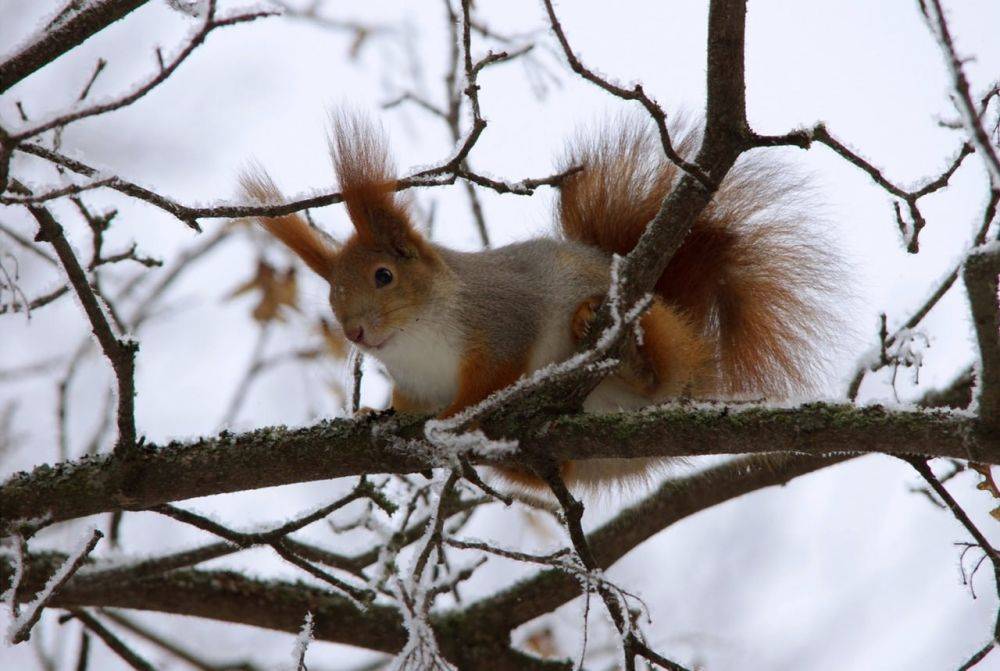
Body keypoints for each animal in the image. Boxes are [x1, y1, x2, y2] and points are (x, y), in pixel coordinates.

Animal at [240, 111, 836, 488]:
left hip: (658, 343)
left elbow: (492, 374)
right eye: (331, 294)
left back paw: (619, 344)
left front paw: (455, 416)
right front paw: (372, 412)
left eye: (384, 276)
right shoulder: (413, 386)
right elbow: (405, 405)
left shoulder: (504, 318)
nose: (354, 332)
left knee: (654, 371)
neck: (415, 343)